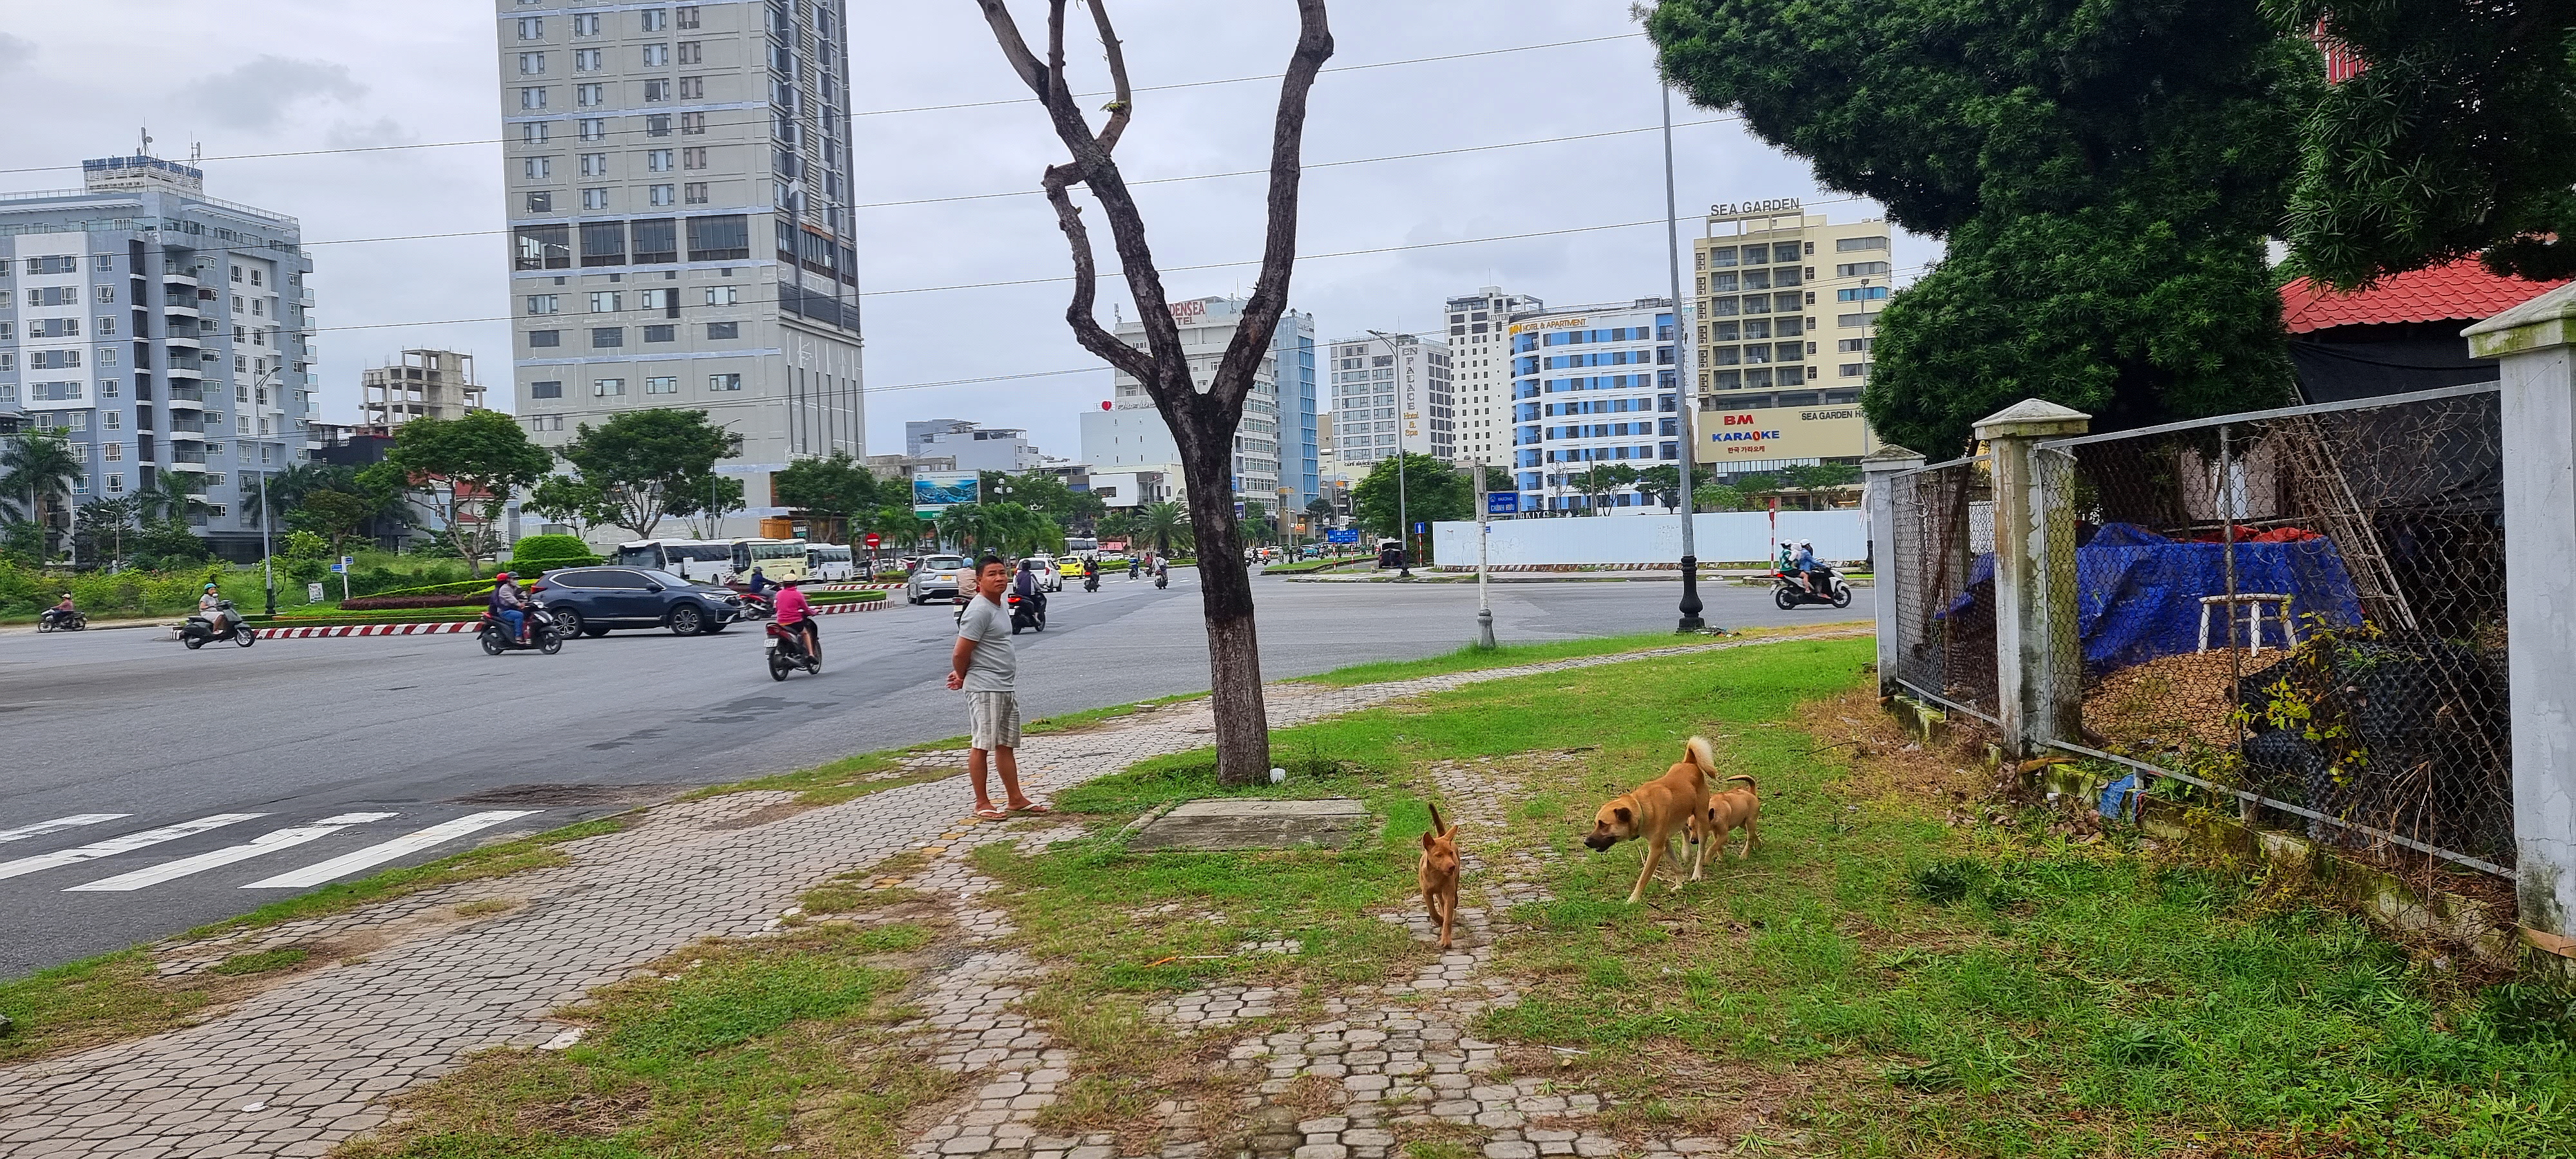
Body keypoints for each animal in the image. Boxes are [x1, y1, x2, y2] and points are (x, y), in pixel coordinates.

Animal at [1422, 804, 1463, 953]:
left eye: (1450, 853)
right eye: (1439, 855)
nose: (1452, 867)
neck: (1437, 874)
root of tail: (1441, 836)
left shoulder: (1448, 893)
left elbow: (1448, 919)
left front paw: (1446, 940)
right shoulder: (1426, 893)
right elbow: (1433, 912)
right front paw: (1439, 919)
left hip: (1455, 879)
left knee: (1453, 895)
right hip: (1438, 893)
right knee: (1440, 902)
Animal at [1577, 737, 1721, 901]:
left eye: (1603, 824)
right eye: (1596, 824)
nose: (1586, 842)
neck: (1642, 808)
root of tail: (1689, 763)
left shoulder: (1656, 849)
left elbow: (1644, 878)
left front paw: (1633, 899)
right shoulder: (1664, 843)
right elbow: (1675, 865)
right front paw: (1679, 884)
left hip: (1701, 819)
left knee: (1701, 850)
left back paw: (1697, 873)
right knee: (1684, 828)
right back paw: (1686, 852)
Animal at [1700, 768, 1762, 860]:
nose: (1694, 841)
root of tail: (1752, 793)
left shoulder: (1724, 835)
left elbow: (1712, 848)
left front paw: (1706, 860)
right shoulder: (1715, 833)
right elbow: (1718, 847)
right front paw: (1721, 858)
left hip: (1750, 822)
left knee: (1750, 839)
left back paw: (1744, 855)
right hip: (1743, 824)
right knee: (1754, 834)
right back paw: (1759, 846)